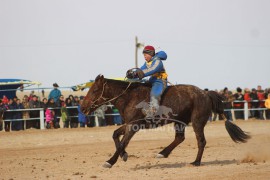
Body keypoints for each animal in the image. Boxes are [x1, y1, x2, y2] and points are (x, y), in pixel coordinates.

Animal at [81, 74, 250, 167]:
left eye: (94, 90)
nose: (82, 107)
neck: (130, 97)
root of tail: (206, 93)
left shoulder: (134, 125)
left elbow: (123, 142)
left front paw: (110, 161)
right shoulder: (130, 124)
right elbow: (115, 135)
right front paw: (123, 155)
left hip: (197, 122)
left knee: (201, 141)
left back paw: (195, 162)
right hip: (180, 122)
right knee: (180, 138)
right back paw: (163, 153)